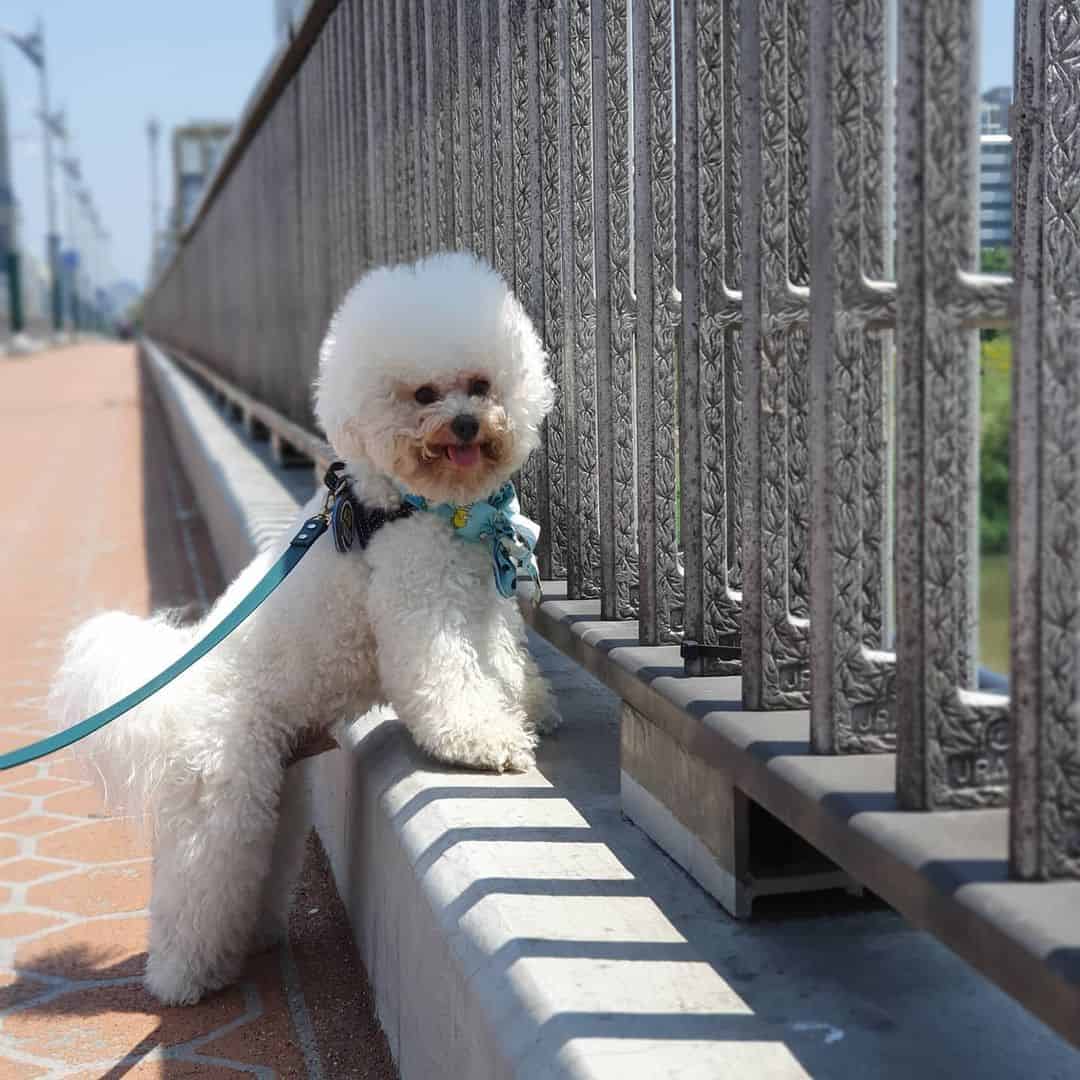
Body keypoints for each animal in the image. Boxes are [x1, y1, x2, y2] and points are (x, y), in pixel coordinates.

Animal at [48, 250, 557, 1002]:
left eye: (480, 384)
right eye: (423, 395)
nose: (467, 424)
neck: (423, 507)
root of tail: (173, 693)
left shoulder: (477, 599)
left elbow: (501, 658)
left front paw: (526, 704)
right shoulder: (421, 605)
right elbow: (449, 681)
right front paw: (486, 742)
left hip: (275, 791)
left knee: (255, 873)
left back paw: (249, 941)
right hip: (219, 797)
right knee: (194, 890)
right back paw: (180, 981)